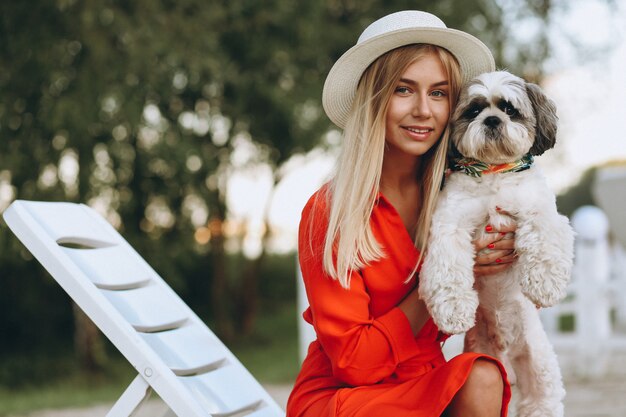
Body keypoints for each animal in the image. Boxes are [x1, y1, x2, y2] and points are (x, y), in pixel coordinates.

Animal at [416, 71, 572, 416]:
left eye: (509, 109)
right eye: (473, 110)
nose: (491, 119)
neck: (492, 171)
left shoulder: (539, 209)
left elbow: (544, 236)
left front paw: (545, 284)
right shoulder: (449, 224)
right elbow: (447, 271)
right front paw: (454, 309)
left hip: (540, 372)